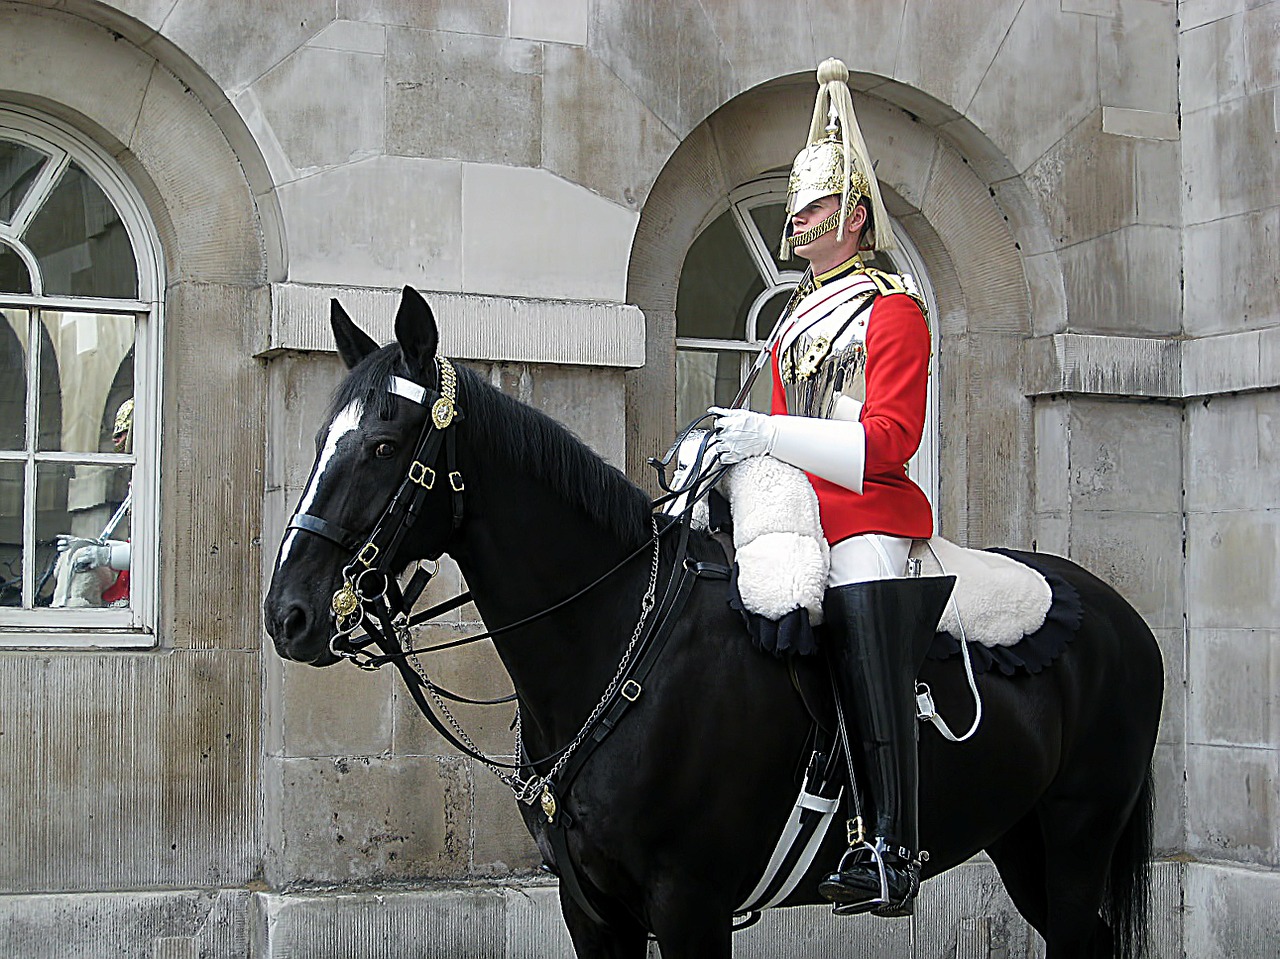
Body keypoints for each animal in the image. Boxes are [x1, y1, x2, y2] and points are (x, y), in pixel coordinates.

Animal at [264, 288, 1167, 957]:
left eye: (384, 444)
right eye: (319, 440)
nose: (288, 615)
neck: (615, 645)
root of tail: (1118, 610)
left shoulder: (689, 902)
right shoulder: (591, 908)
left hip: (1078, 831)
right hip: (1020, 838)